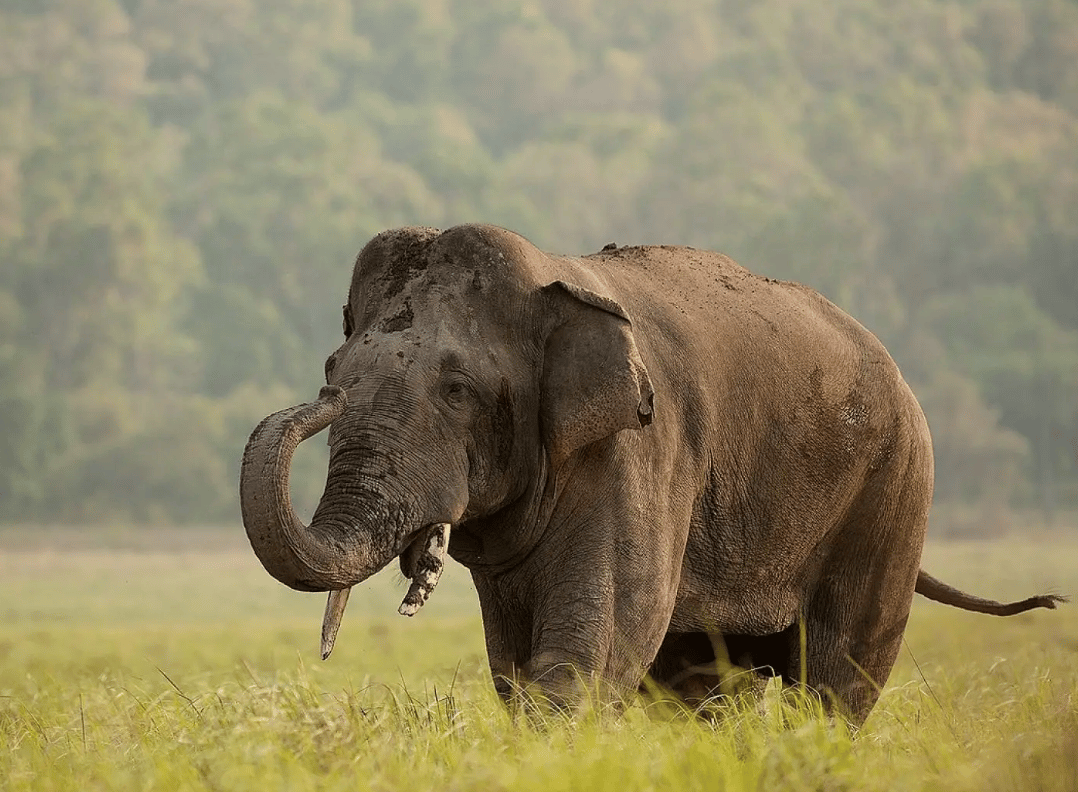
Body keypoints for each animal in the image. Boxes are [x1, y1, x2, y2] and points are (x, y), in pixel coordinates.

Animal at [240, 223, 1063, 724]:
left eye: (456, 390)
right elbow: (517, 663)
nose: (320, 401)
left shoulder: (639, 450)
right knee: (705, 685)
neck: (551, 279)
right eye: (334, 370)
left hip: (893, 490)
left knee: (838, 676)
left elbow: (593, 648)